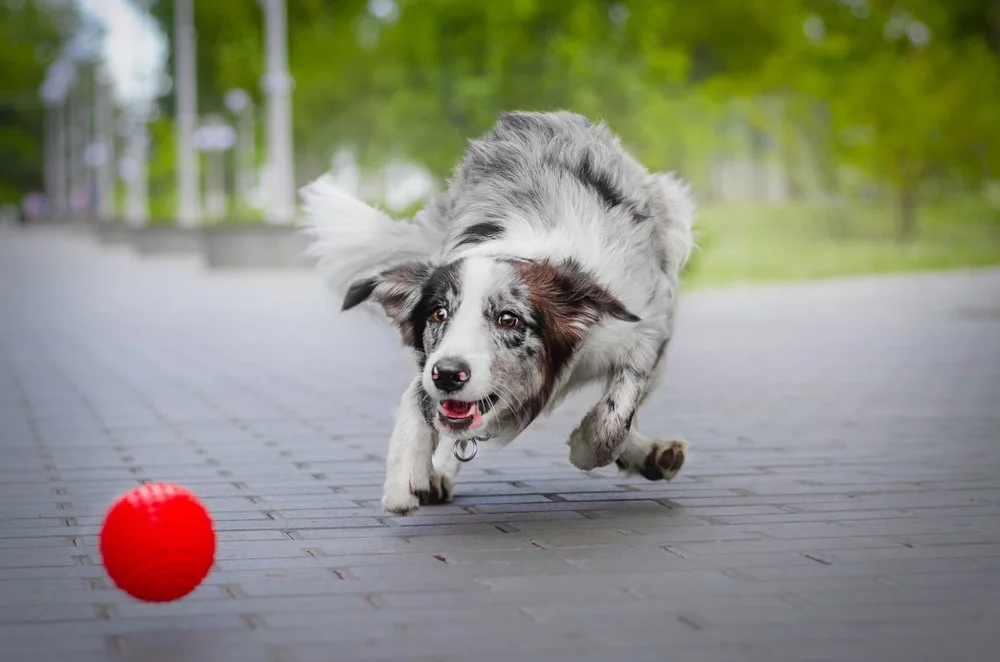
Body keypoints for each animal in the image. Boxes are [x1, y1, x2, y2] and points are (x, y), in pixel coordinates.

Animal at [302, 109, 696, 516]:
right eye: (438, 314)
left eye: (509, 319)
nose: (449, 374)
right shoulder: (432, 360)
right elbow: (418, 397)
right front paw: (405, 475)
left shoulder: (646, 327)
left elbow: (613, 417)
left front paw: (586, 448)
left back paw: (651, 454)